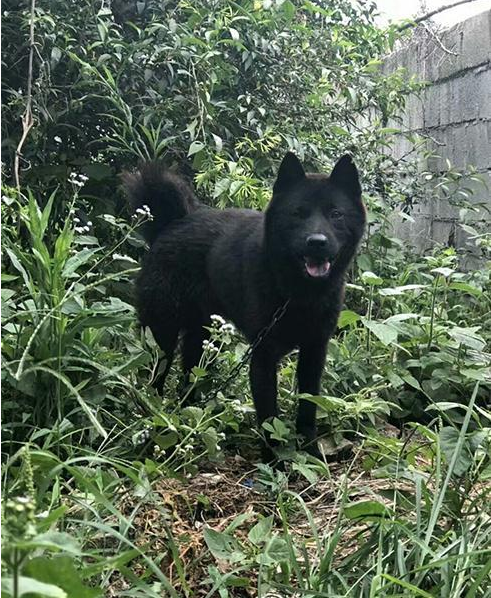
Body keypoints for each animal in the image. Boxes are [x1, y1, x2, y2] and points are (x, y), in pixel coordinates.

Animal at [125, 152, 368, 462]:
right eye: (298, 213)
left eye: (336, 214)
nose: (317, 243)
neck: (297, 292)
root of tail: (174, 222)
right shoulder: (263, 356)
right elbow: (268, 415)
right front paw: (273, 463)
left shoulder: (315, 352)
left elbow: (308, 407)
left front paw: (311, 452)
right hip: (161, 334)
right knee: (155, 379)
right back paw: (153, 422)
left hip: (203, 336)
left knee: (188, 377)